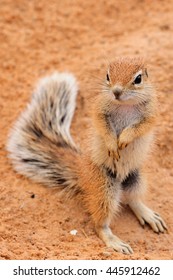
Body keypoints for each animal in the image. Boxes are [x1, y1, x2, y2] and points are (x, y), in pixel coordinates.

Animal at [7, 56, 168, 254]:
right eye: (107, 75)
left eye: (138, 79)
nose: (116, 92)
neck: (124, 105)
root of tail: (82, 172)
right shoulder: (99, 109)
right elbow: (103, 126)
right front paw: (113, 144)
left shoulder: (151, 113)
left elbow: (141, 126)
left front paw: (124, 138)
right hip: (104, 187)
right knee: (100, 223)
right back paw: (114, 240)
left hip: (136, 177)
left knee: (132, 199)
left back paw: (147, 214)